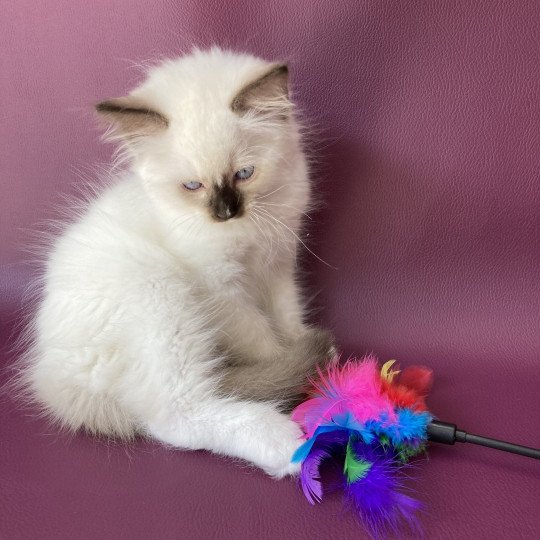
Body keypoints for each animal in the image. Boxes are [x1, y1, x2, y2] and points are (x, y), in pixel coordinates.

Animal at [16, 47, 334, 476]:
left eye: (244, 173)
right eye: (192, 186)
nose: (225, 211)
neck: (247, 231)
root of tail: (52, 375)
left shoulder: (279, 264)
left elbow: (288, 321)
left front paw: (308, 352)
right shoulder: (221, 289)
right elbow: (264, 342)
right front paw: (295, 364)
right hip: (160, 295)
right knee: (174, 419)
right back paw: (287, 446)